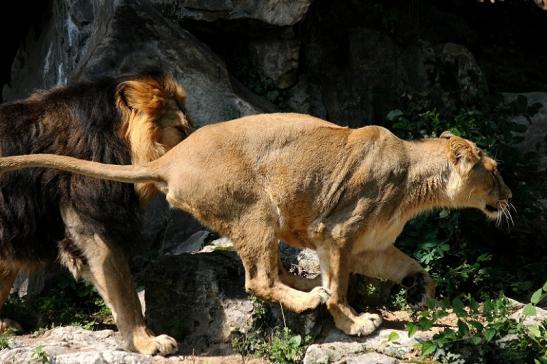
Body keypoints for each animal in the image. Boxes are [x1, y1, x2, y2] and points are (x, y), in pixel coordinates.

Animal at [0, 114, 512, 338]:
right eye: (495, 171)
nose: (509, 197)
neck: (416, 184)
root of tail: (170, 158)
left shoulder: (371, 246)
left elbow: (414, 268)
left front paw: (424, 295)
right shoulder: (338, 233)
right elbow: (340, 286)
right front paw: (352, 322)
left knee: (270, 270)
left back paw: (304, 284)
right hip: (257, 208)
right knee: (258, 279)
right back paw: (308, 298)